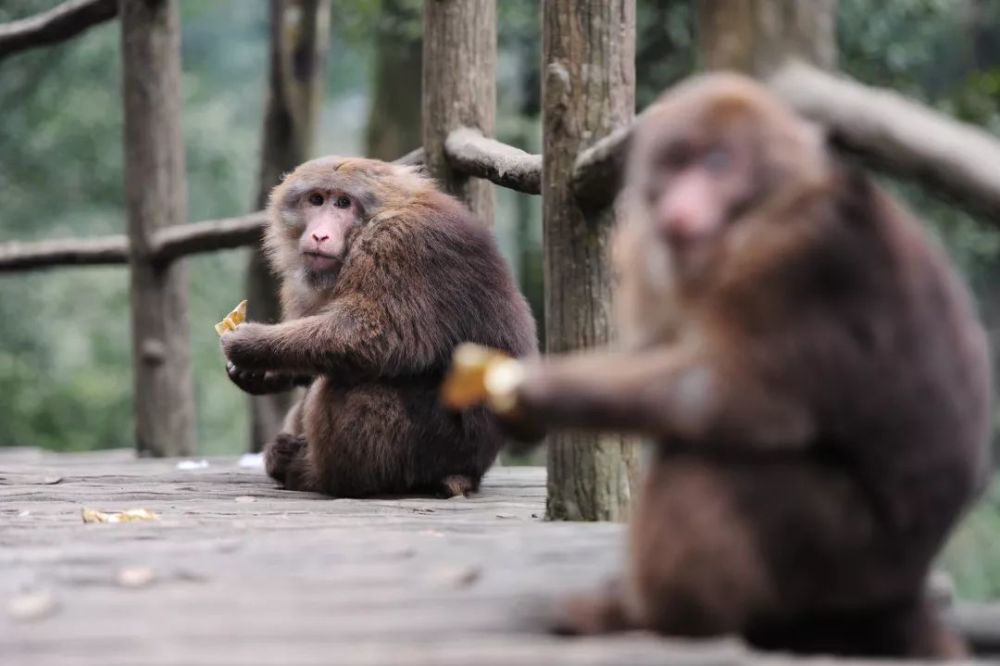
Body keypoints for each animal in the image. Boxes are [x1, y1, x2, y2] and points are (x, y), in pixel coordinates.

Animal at [218, 156, 532, 496]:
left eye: (343, 203)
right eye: (316, 200)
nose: (319, 236)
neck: (366, 227)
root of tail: (472, 472)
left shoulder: (397, 246)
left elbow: (381, 335)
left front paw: (252, 344)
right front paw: (260, 373)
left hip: (437, 448)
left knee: (350, 386)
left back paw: (316, 475)